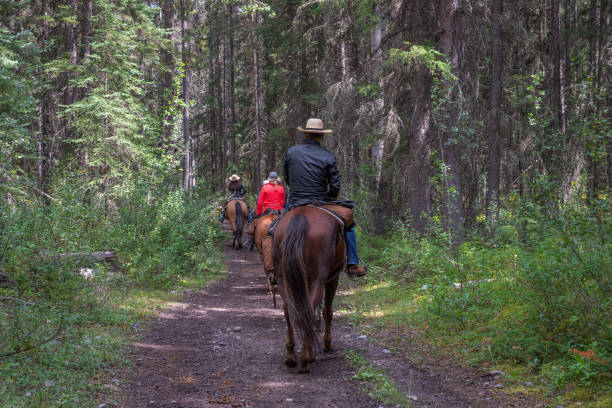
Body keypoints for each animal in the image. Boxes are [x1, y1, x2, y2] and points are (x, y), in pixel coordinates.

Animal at [272, 207, 344, 372]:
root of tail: (301, 216)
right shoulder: (333, 278)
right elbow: (327, 312)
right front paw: (327, 344)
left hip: (282, 278)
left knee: (289, 310)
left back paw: (291, 354)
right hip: (317, 279)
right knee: (309, 310)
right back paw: (306, 357)